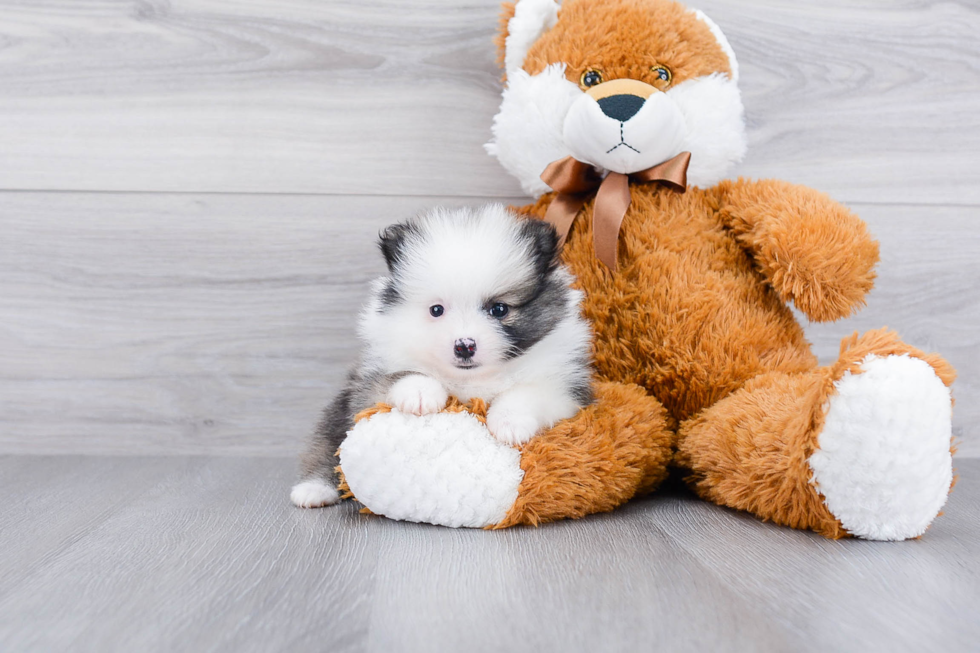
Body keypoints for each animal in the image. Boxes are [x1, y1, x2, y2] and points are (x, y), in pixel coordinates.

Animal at [290, 204, 592, 510]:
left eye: (499, 309)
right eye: (436, 310)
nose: (464, 345)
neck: (470, 380)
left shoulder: (567, 390)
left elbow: (530, 393)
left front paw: (510, 422)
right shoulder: (369, 383)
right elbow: (401, 375)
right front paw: (420, 394)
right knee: (327, 446)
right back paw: (313, 490)